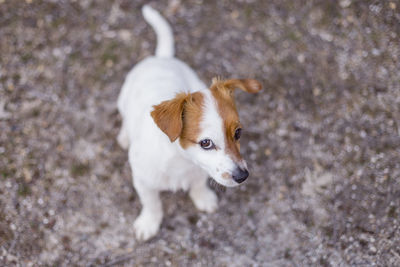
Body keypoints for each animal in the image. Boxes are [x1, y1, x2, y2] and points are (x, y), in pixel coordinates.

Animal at [116, 5, 262, 242]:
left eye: (238, 133)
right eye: (206, 143)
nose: (243, 176)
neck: (180, 161)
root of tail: (162, 58)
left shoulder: (200, 171)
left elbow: (198, 184)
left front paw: (203, 198)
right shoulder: (143, 181)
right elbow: (152, 203)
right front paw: (149, 223)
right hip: (122, 100)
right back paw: (123, 136)